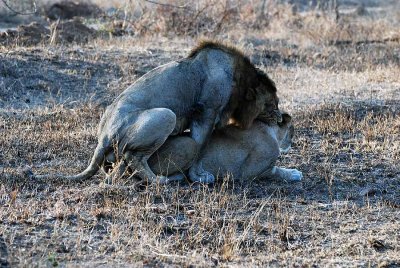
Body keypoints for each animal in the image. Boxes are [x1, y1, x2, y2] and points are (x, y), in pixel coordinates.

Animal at [34, 40, 282, 184]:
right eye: (273, 104)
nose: (280, 117)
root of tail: (103, 135)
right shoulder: (206, 112)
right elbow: (199, 147)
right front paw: (198, 176)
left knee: (119, 165)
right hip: (166, 115)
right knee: (133, 157)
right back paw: (159, 181)